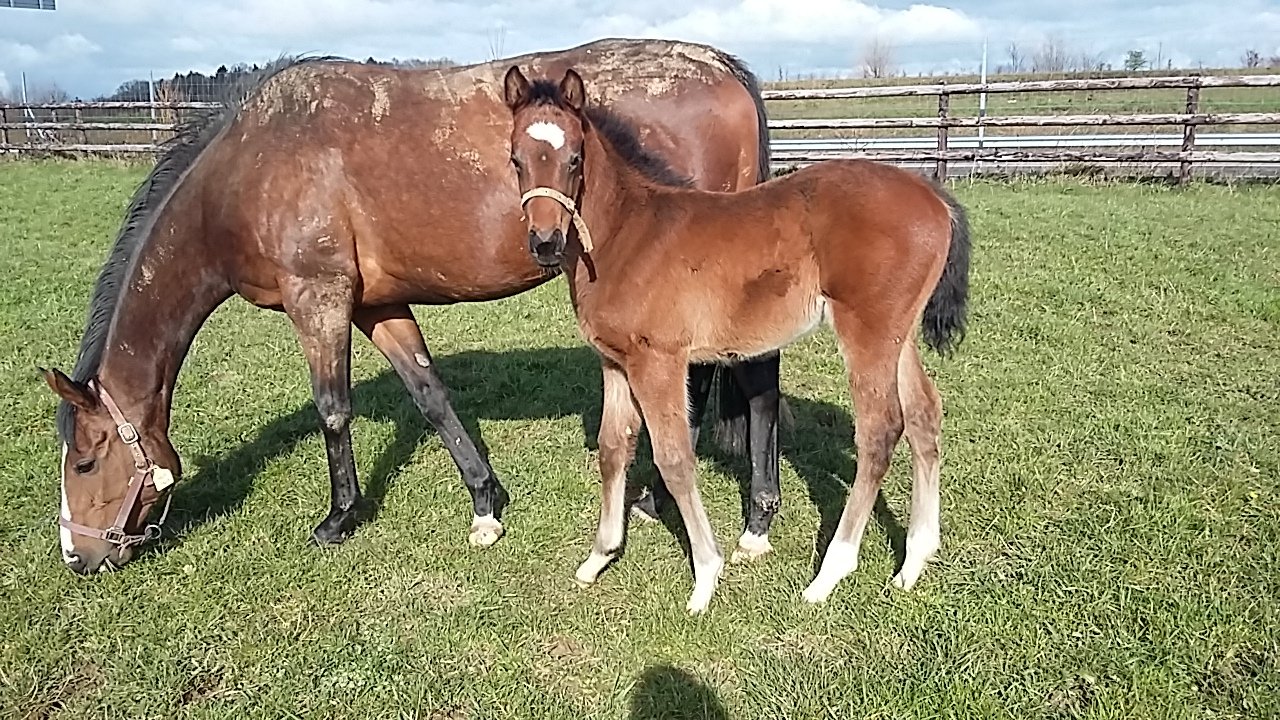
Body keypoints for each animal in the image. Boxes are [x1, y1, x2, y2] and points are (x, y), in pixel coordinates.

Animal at [39, 38, 787, 575]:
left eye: (84, 463)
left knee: (753, 380)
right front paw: (485, 503)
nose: (78, 557)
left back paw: (751, 519)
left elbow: (333, 409)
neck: (248, 168)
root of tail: (722, 67)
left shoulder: (318, 299)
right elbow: (430, 395)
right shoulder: (378, 306)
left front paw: (338, 518)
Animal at [500, 66, 972, 613]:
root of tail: (934, 196)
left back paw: (829, 575)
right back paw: (914, 561)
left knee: (879, 431)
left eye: (574, 158)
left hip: (867, 331)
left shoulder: (658, 360)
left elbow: (674, 457)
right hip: (898, 335)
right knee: (923, 415)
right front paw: (600, 557)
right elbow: (612, 447)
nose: (545, 242)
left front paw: (706, 576)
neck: (628, 233)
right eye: (516, 159)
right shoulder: (615, 361)